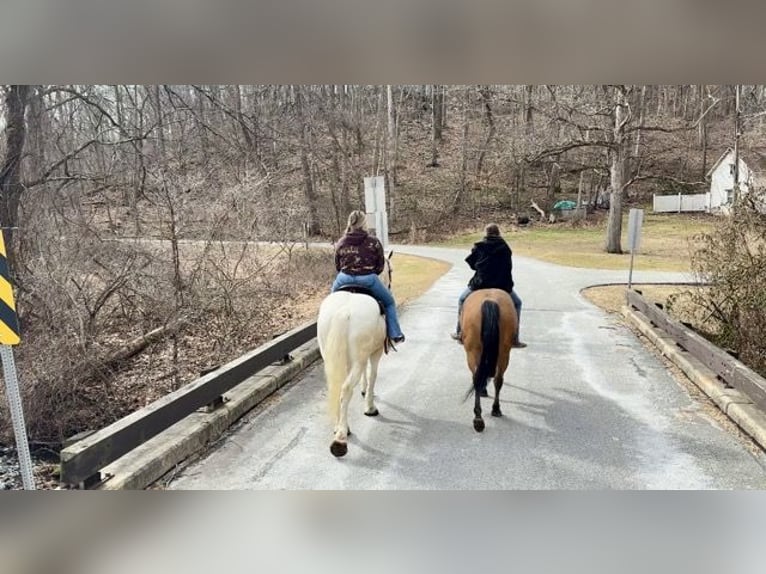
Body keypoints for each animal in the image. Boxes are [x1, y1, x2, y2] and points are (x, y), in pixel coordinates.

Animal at [316, 254, 396, 462]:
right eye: (390, 270)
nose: (390, 284)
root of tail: (344, 311)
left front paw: (363, 390)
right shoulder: (375, 352)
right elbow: (373, 374)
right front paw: (370, 406)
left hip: (332, 355)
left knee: (337, 387)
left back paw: (340, 428)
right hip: (359, 358)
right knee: (345, 389)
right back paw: (341, 439)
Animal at [460, 292, 520, 432]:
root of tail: (490, 300)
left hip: (472, 351)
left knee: (478, 378)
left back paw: (479, 418)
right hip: (504, 352)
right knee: (497, 379)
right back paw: (494, 410)